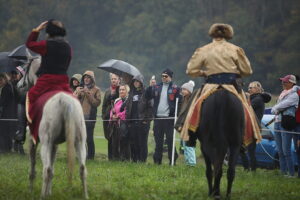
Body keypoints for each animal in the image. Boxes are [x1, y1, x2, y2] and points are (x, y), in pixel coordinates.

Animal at [26, 56, 88, 198]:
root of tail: (65, 101)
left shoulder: (34, 141)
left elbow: (33, 167)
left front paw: (32, 190)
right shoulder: (55, 145)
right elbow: (53, 169)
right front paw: (49, 192)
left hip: (46, 144)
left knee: (46, 169)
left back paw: (42, 196)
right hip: (79, 141)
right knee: (82, 168)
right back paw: (85, 195)